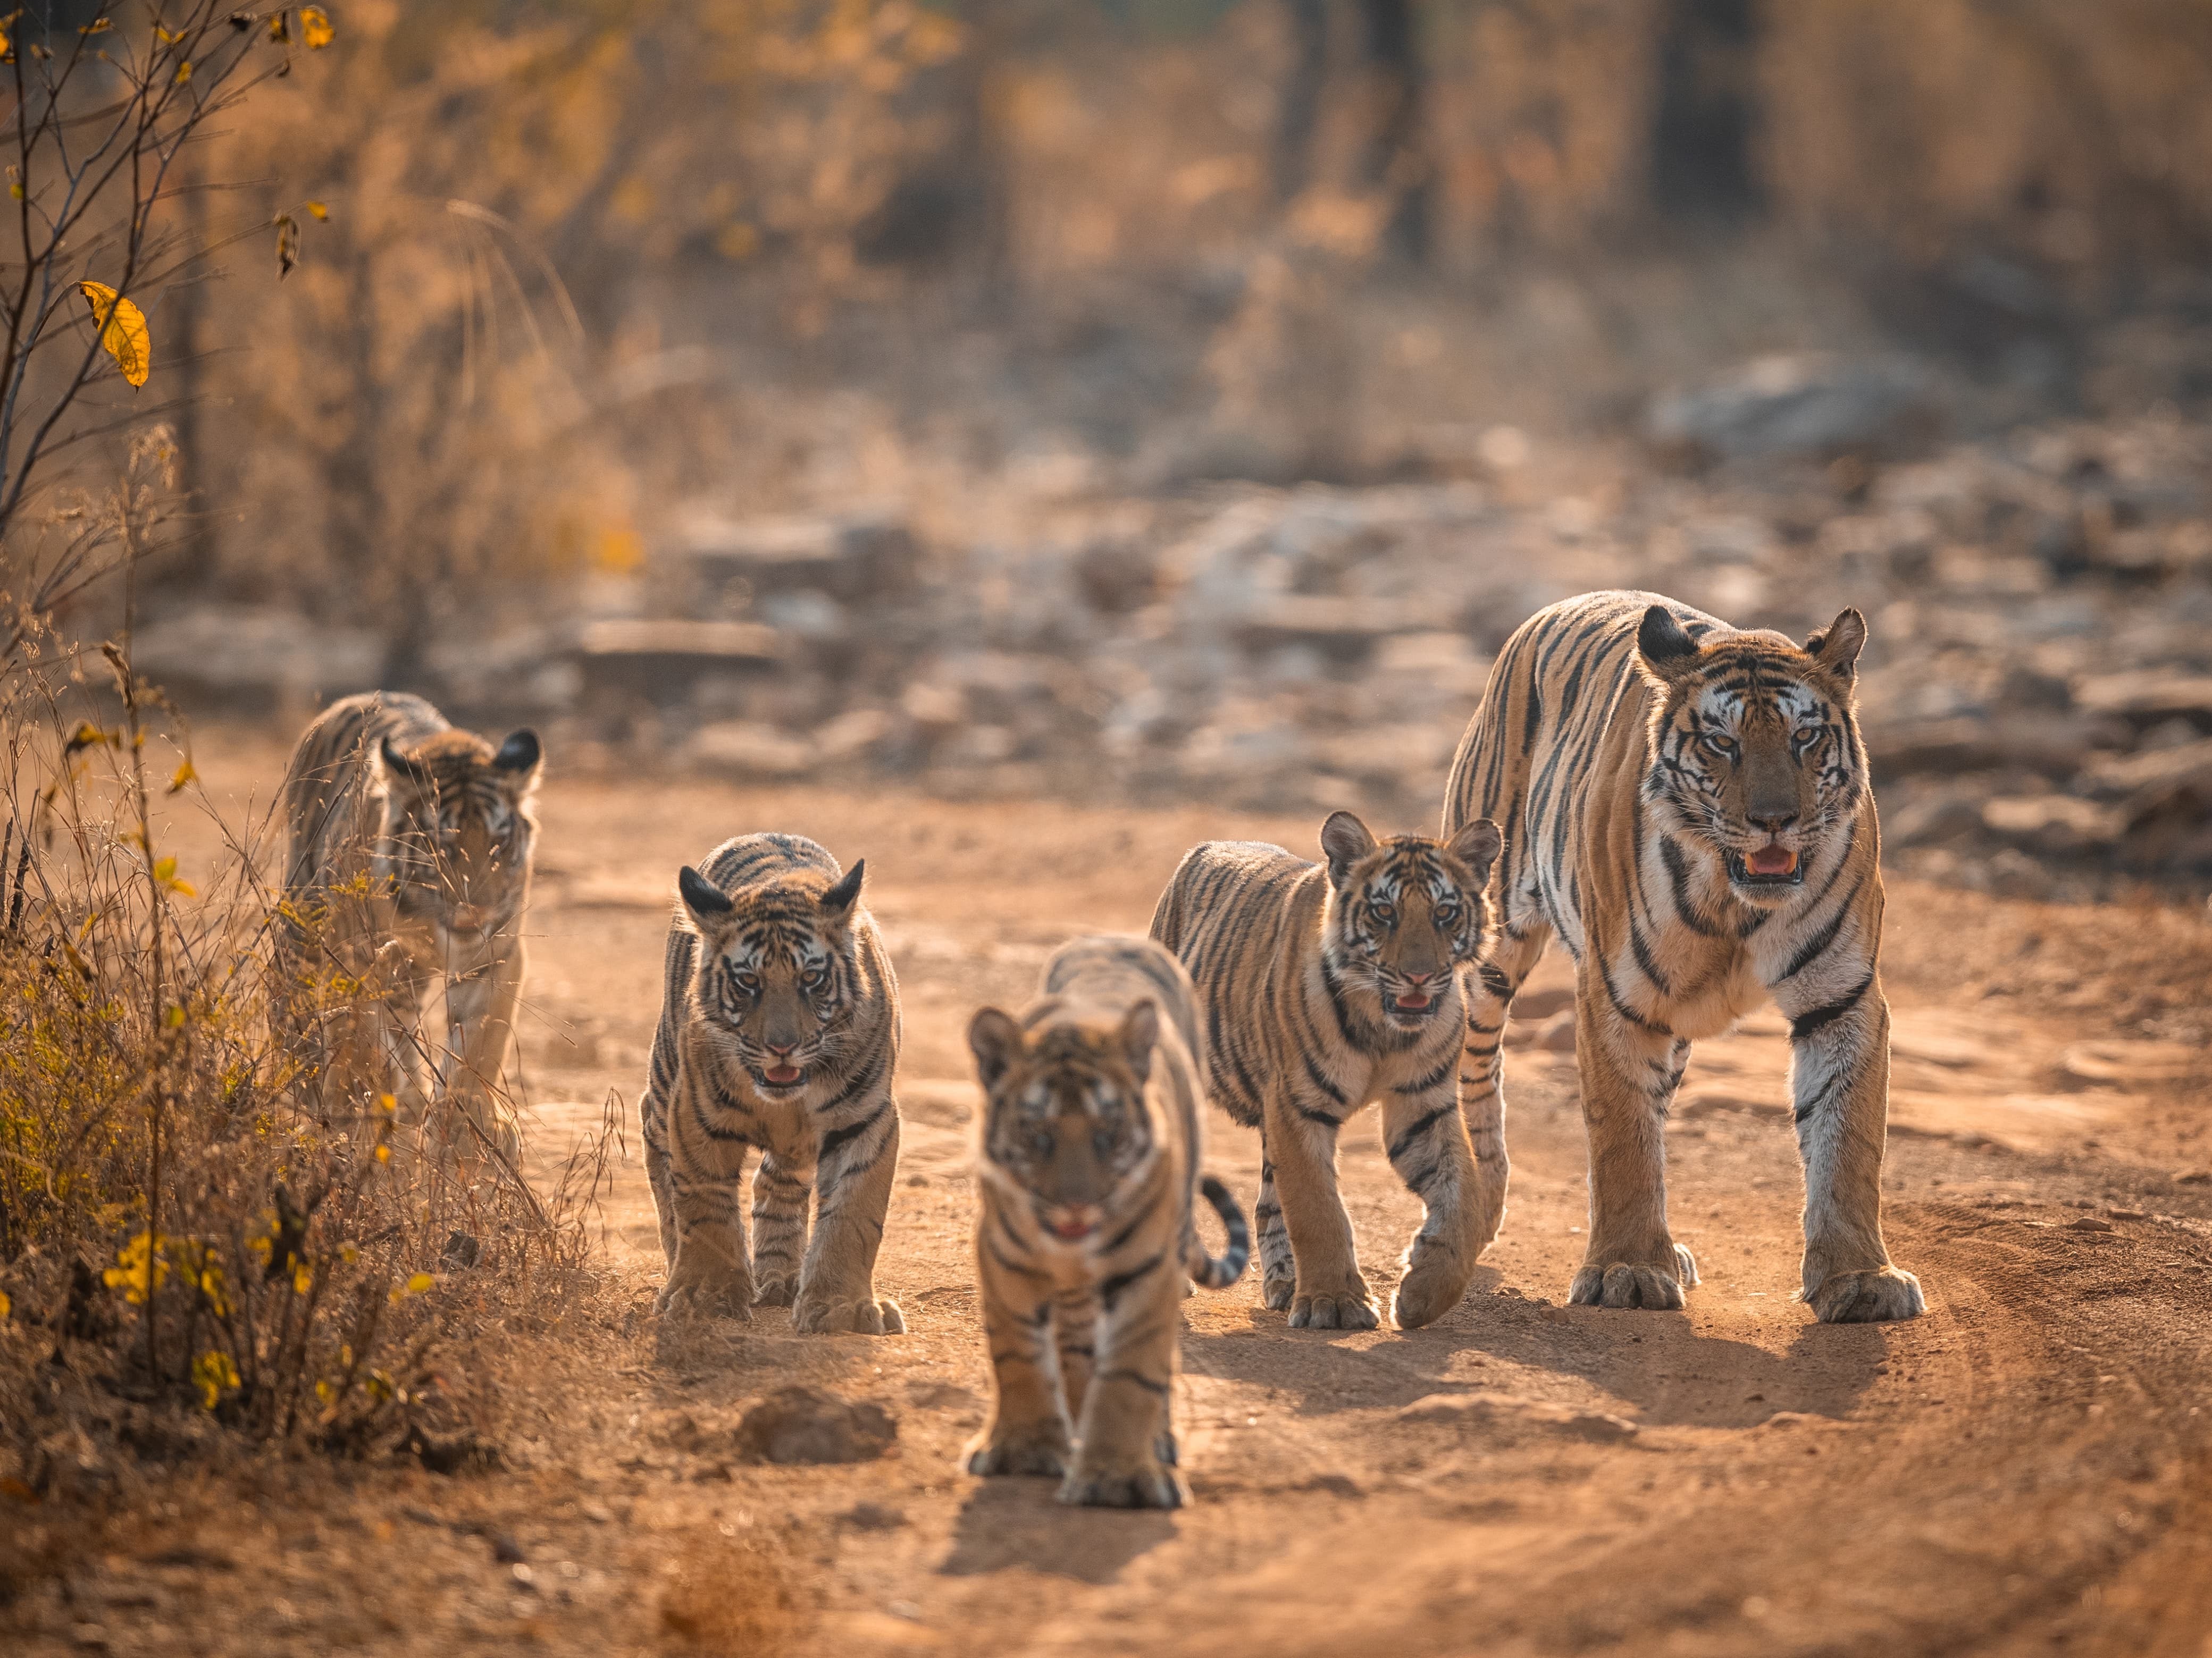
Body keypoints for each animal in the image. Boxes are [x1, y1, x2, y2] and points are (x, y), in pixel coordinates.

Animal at [280, 690, 541, 1164]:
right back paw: (311, 1080)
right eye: (443, 847)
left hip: (404, 970)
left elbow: (480, 1044)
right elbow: (361, 1037)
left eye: (498, 843)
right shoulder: (358, 954)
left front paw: (466, 1132)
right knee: (294, 1001)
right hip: (305, 916)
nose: (476, 911)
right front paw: (360, 1107)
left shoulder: (495, 955)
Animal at [640, 833, 905, 1334]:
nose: (782, 1046)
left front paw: (842, 1307)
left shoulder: (865, 1120)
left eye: (811, 978)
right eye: (748, 981)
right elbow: (703, 1207)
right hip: (665, 1080)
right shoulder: (694, 1113)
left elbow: (853, 1214)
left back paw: (781, 1277)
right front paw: (704, 1296)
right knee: (657, 1148)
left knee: (774, 1182)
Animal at [963, 935, 1250, 1509]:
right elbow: (1018, 1354)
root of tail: (1115, 937)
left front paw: (1116, 1476)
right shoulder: (1005, 1258)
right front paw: (1024, 1449)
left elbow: (1131, 1373)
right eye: (1037, 1134)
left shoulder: (1148, 1268)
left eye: (1108, 1133)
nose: (1076, 1205)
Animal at [1149, 810, 1501, 1332]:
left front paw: (1423, 1292)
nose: (1418, 976)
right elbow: (1317, 1208)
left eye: (1444, 913)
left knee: (1267, 1202)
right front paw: (1334, 1303)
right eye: (1384, 912)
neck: (1383, 1028)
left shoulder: (1423, 1105)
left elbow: (1463, 1198)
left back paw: (1284, 1281)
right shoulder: (1297, 1103)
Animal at [1443, 589, 1924, 1323]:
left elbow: (1848, 1140)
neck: (1736, 902)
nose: (1774, 819)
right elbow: (1622, 1139)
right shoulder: (1614, 995)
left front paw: (1860, 1277)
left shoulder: (1841, 997)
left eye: (1804, 737)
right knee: (1474, 1075)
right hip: (1487, 947)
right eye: (1721, 742)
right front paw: (1625, 1271)